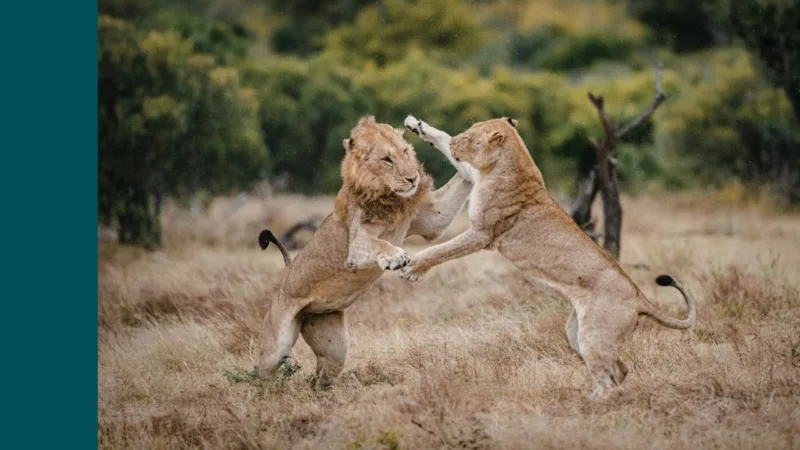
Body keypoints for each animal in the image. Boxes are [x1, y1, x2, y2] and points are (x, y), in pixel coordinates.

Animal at [256, 115, 472, 386]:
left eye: (405, 152)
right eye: (387, 159)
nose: (413, 179)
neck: (391, 199)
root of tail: (287, 271)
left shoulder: (433, 219)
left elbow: (461, 179)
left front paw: (426, 129)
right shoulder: (356, 246)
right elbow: (378, 244)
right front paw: (396, 257)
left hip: (333, 345)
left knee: (319, 379)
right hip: (276, 347)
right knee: (262, 371)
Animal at [399, 115, 696, 400]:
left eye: (471, 137)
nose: (455, 144)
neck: (507, 164)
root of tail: (639, 297)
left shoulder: (482, 234)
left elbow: (441, 250)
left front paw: (413, 267)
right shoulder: (474, 178)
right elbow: (441, 139)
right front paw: (418, 126)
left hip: (594, 334)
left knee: (611, 380)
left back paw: (590, 404)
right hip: (577, 333)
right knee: (619, 369)